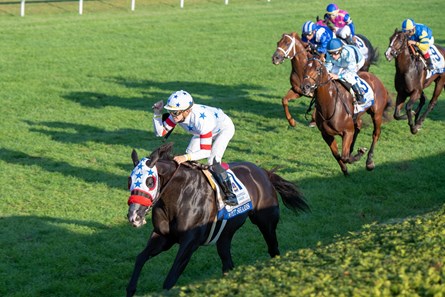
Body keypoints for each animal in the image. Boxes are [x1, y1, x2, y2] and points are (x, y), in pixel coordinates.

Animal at [123, 142, 306, 294]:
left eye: (150, 181)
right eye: (129, 180)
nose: (134, 216)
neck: (178, 196)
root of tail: (264, 172)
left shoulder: (190, 242)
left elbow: (170, 279)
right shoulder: (164, 236)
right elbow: (140, 258)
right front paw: (131, 288)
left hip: (266, 222)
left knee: (273, 249)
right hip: (226, 232)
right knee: (228, 263)